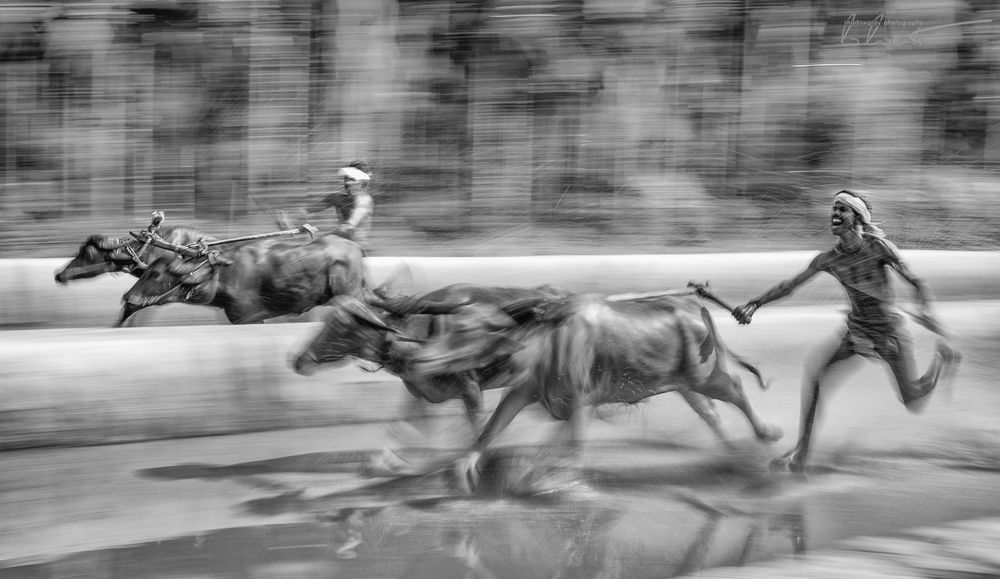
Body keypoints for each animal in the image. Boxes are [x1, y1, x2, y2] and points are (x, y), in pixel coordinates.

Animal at [120, 234, 370, 326]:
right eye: (146, 271)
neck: (223, 274)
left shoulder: (248, 317)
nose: (128, 297)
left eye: (156, 274)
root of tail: (355, 247)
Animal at [406, 292, 780, 492]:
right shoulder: (525, 391)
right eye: (448, 328)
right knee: (711, 413)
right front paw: (464, 466)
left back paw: (767, 434)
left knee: (736, 390)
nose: (417, 357)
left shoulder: (581, 402)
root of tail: (695, 310)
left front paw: (549, 480)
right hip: (686, 385)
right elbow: (492, 428)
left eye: (464, 332)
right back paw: (733, 456)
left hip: (707, 376)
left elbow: (572, 449)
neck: (544, 341)